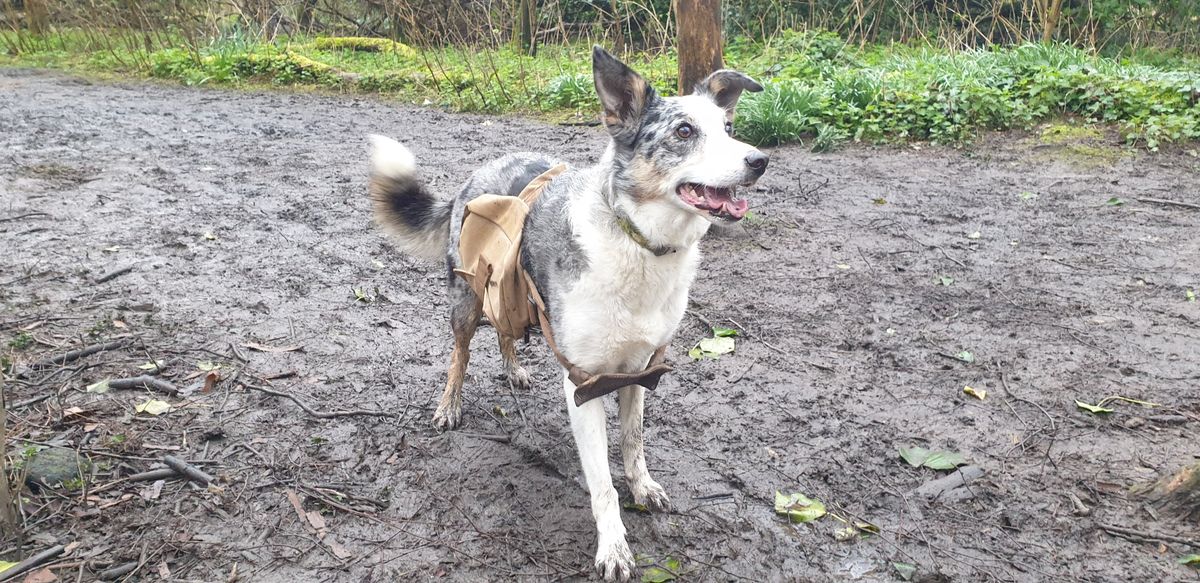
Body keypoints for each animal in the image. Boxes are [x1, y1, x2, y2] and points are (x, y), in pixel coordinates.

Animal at [367, 45, 768, 578]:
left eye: (728, 126)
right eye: (684, 132)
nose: (760, 160)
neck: (639, 243)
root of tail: (480, 171)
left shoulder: (639, 370)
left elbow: (633, 443)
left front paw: (643, 487)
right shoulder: (584, 382)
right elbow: (602, 485)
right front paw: (614, 548)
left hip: (509, 285)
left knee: (506, 328)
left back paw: (514, 369)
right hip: (465, 299)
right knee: (460, 354)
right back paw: (449, 406)